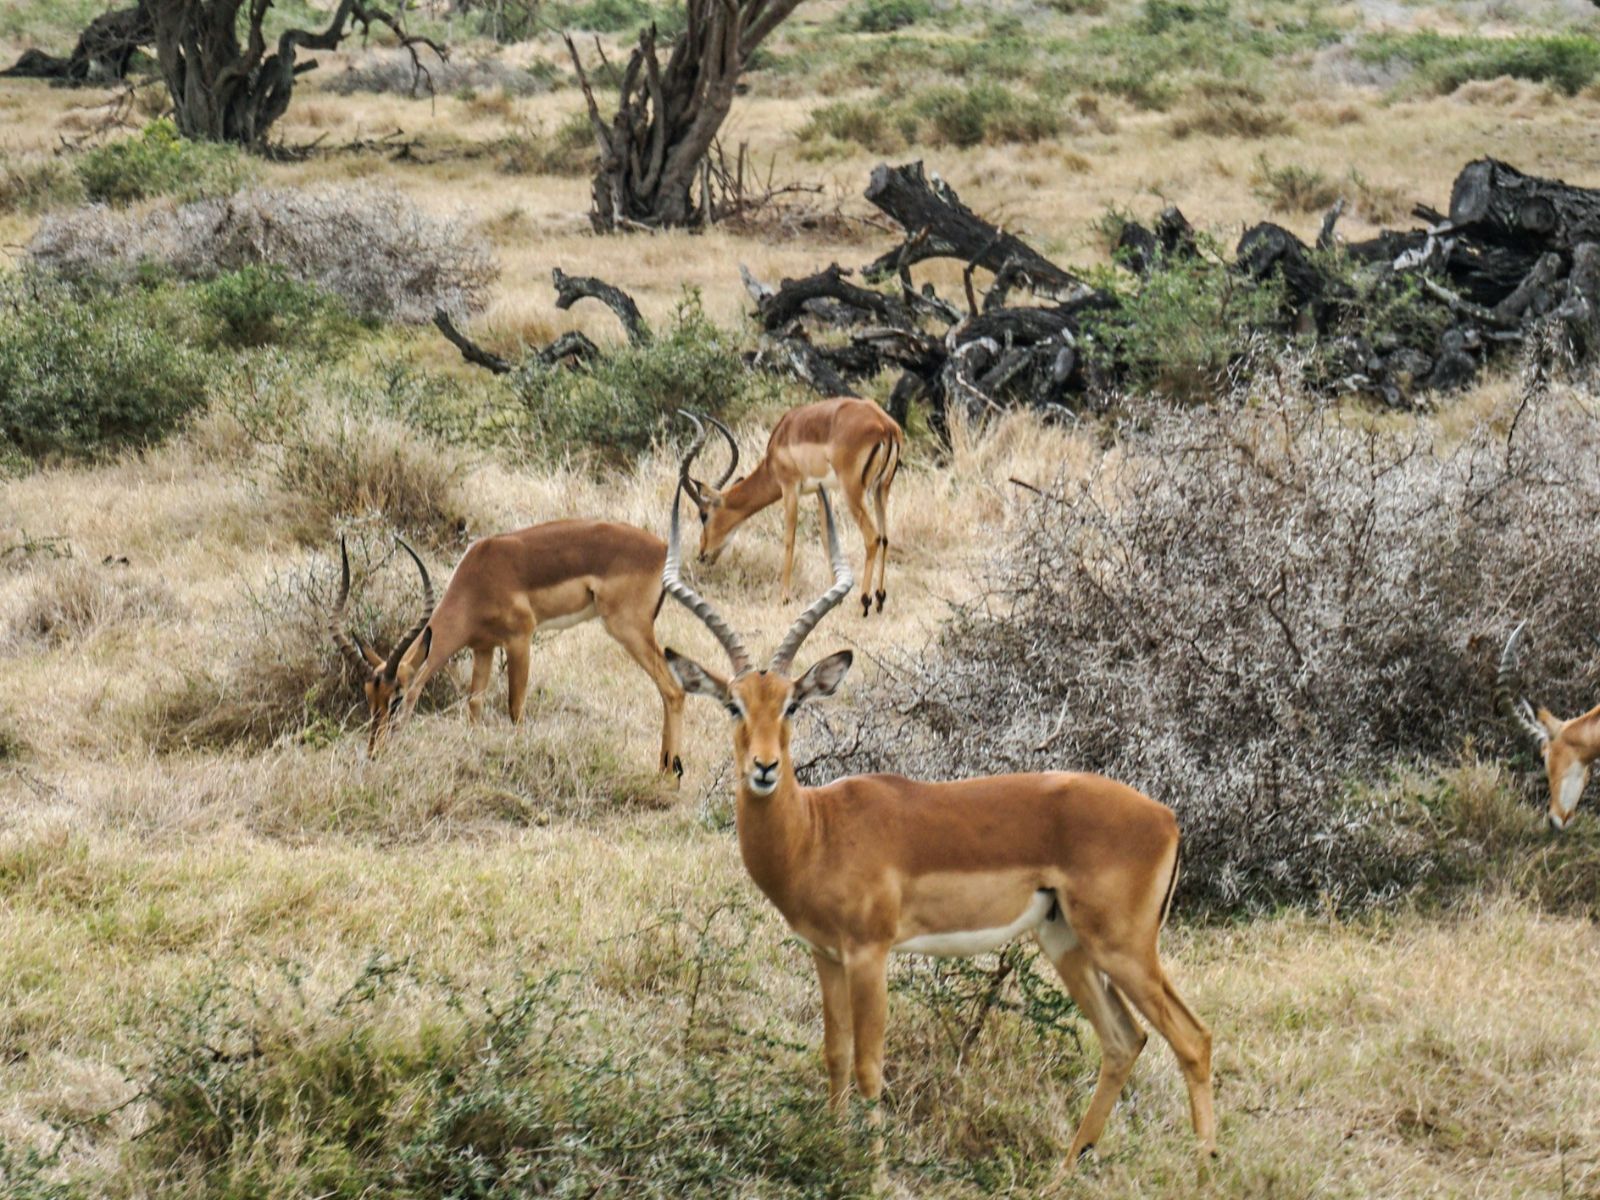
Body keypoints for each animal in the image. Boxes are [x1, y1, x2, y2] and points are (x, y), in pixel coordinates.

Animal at [328, 524, 685, 776]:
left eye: (397, 697)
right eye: (369, 697)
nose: (375, 753)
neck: (478, 578)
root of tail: (662, 550)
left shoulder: (519, 640)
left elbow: (515, 707)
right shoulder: (483, 649)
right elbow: (474, 707)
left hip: (628, 629)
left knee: (673, 689)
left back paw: (669, 776)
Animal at [659, 485, 1217, 1172]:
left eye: (792, 703)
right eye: (733, 704)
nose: (763, 767)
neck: (817, 834)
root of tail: (1166, 817)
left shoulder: (869, 954)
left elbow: (870, 1065)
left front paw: (872, 1172)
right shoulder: (825, 954)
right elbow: (834, 1055)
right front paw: (832, 1147)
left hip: (1124, 946)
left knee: (1192, 1038)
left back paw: (1203, 1167)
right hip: (1066, 941)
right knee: (1124, 1040)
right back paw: (1065, 1168)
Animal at [677, 399, 903, 617]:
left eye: (704, 515)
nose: (702, 554)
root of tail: (886, 425)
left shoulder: (789, 488)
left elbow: (789, 539)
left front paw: (784, 597)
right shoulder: (821, 491)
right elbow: (827, 539)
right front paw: (836, 596)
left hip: (852, 491)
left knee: (872, 537)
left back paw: (864, 602)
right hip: (882, 489)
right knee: (884, 537)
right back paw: (880, 600)